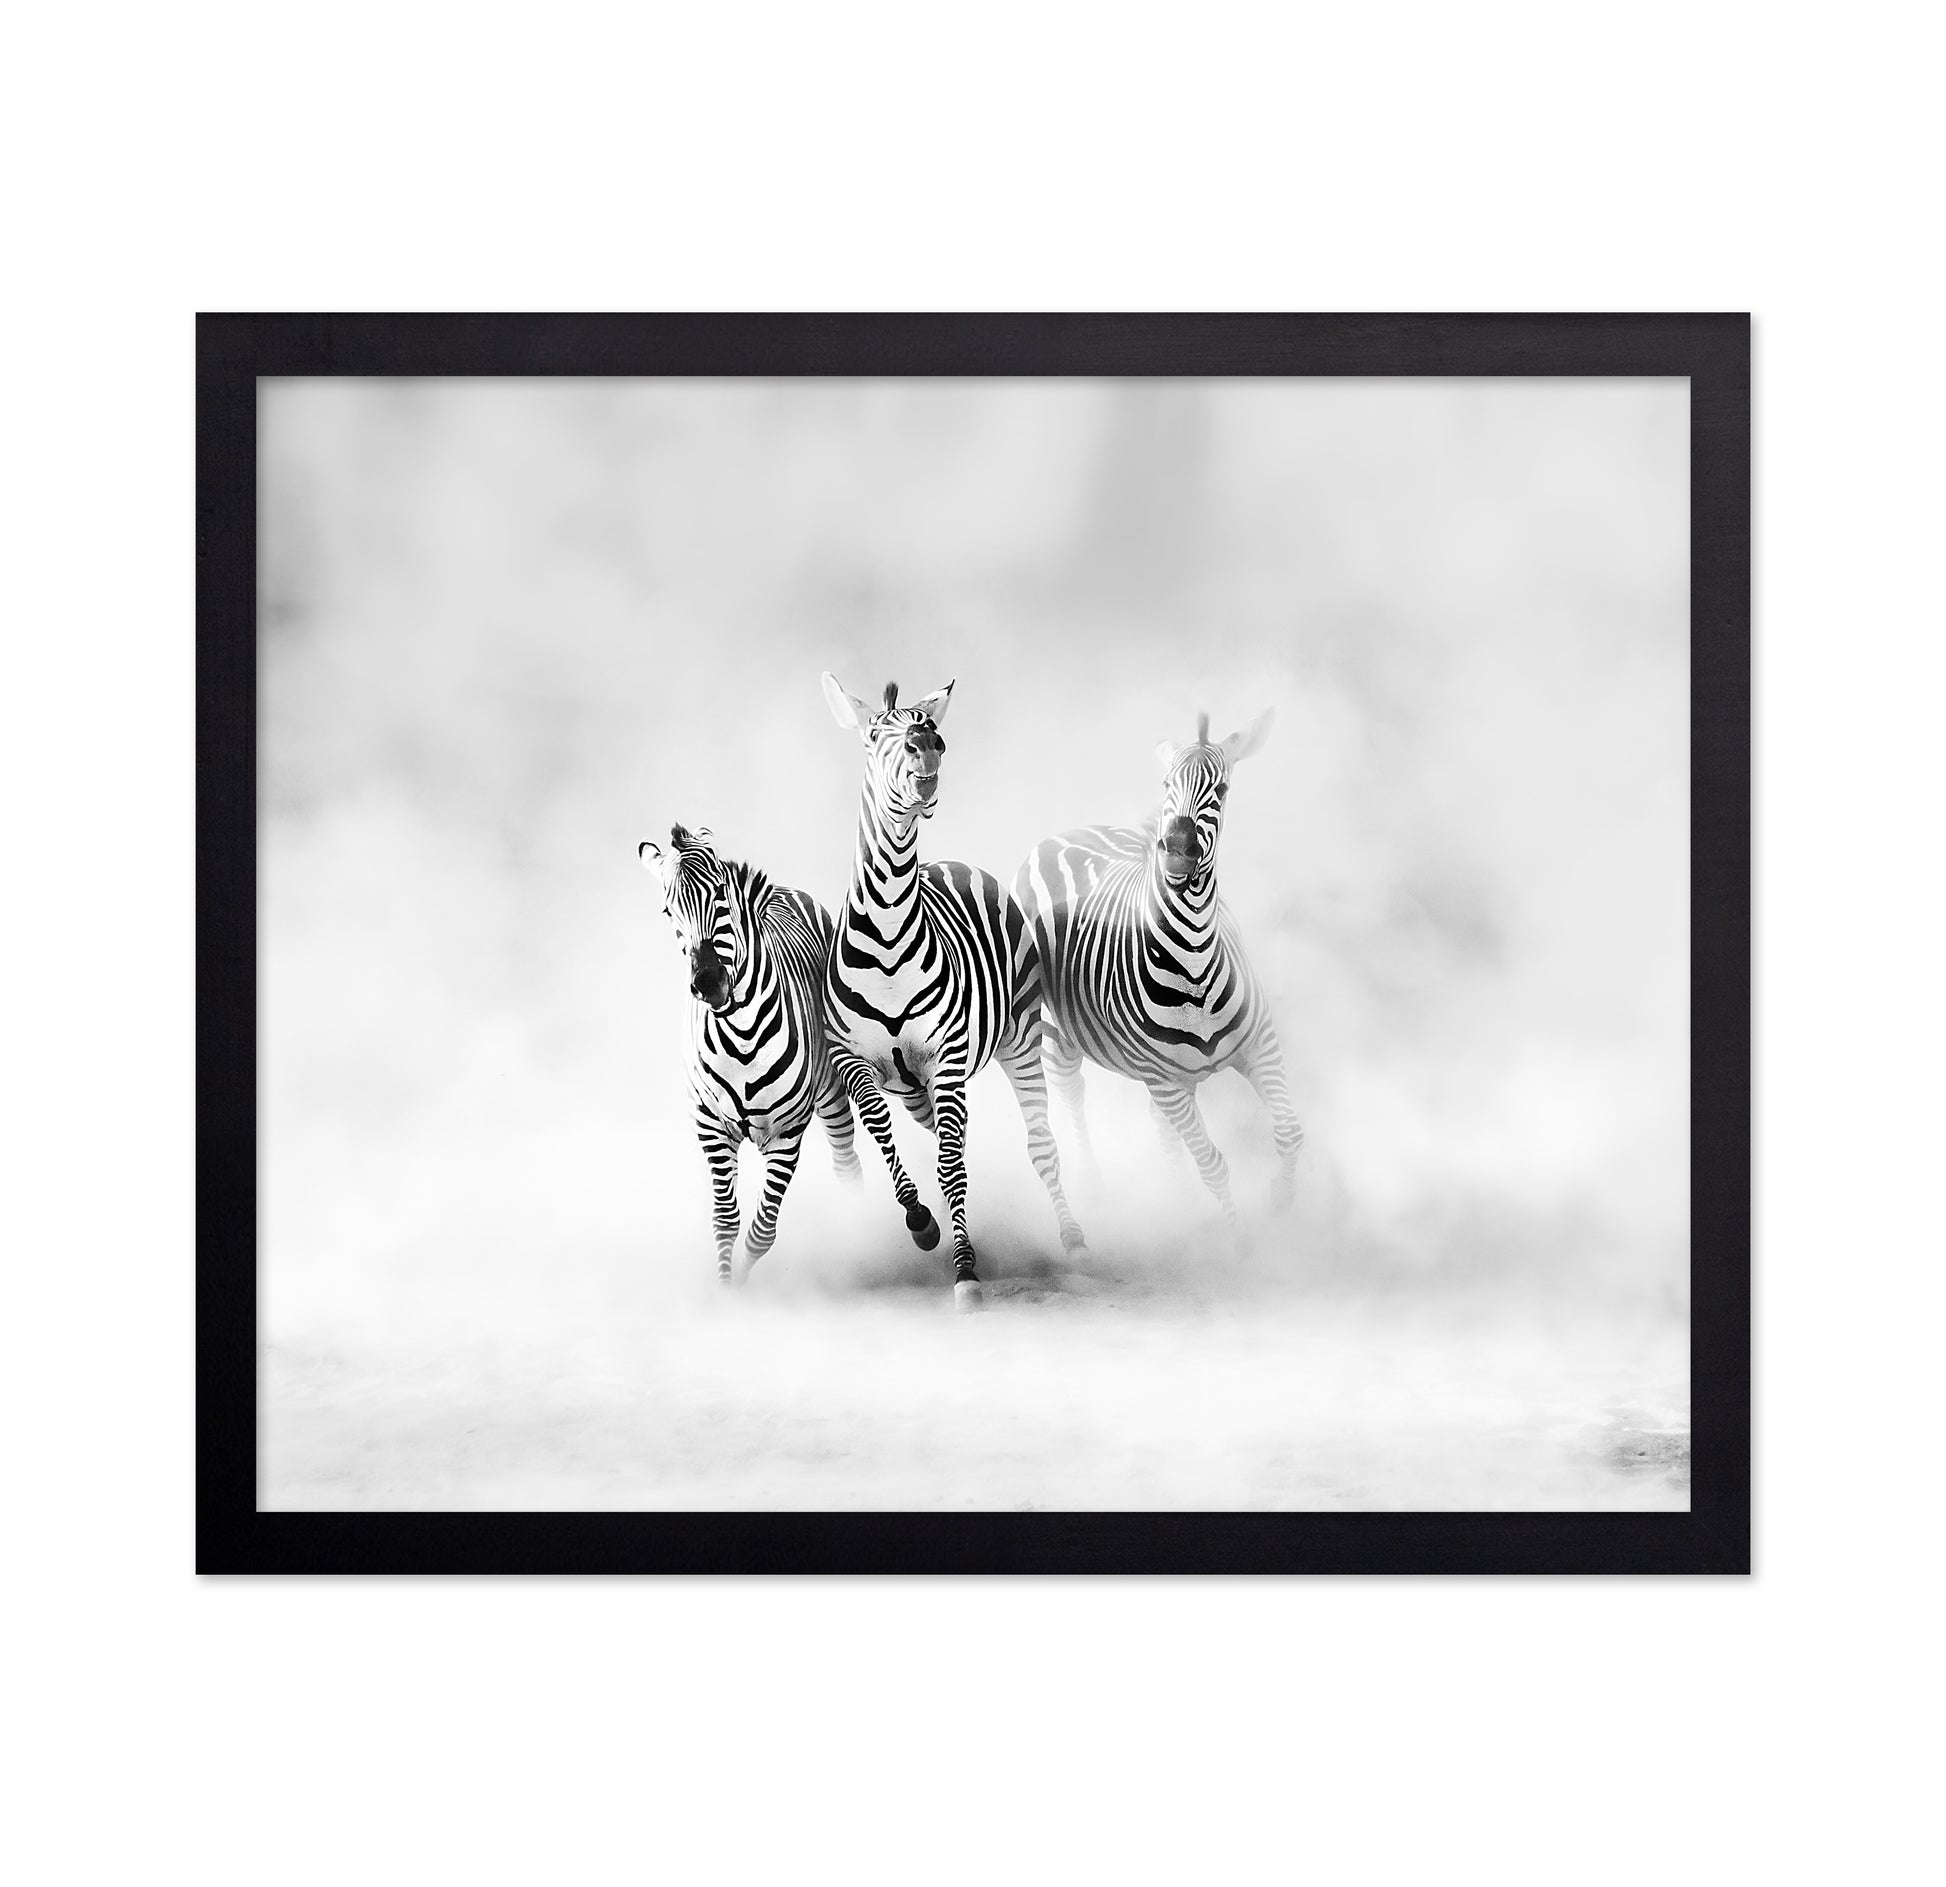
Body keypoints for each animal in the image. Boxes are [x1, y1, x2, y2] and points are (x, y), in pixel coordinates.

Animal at [639, 822, 861, 1283]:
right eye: (668, 912)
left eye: (721, 892)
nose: (708, 983)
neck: (741, 1035)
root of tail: (783, 890)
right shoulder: (711, 1127)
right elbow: (726, 1220)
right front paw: (728, 1288)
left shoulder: (787, 1132)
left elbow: (762, 1230)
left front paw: (741, 1279)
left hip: (831, 1091)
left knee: (847, 1165)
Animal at [821, 674, 1086, 1309]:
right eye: (874, 735)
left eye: (929, 726)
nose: (929, 745)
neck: (888, 931)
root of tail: (955, 863)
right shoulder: (853, 1060)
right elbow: (884, 1132)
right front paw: (922, 1222)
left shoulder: (945, 1057)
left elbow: (950, 1165)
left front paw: (966, 1269)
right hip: (916, 1085)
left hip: (1019, 1039)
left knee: (1038, 1143)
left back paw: (1073, 1240)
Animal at [1014, 710, 1302, 1226]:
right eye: (1167, 783)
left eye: (1222, 789)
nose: (1178, 850)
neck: (1194, 959)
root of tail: (1065, 834)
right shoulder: (1164, 1081)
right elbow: (1213, 1164)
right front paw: (1238, 1236)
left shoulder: (1259, 1044)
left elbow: (1289, 1131)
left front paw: (1281, 1199)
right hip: (1055, 1027)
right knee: (1070, 1089)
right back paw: (1096, 1187)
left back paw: (1176, 1198)